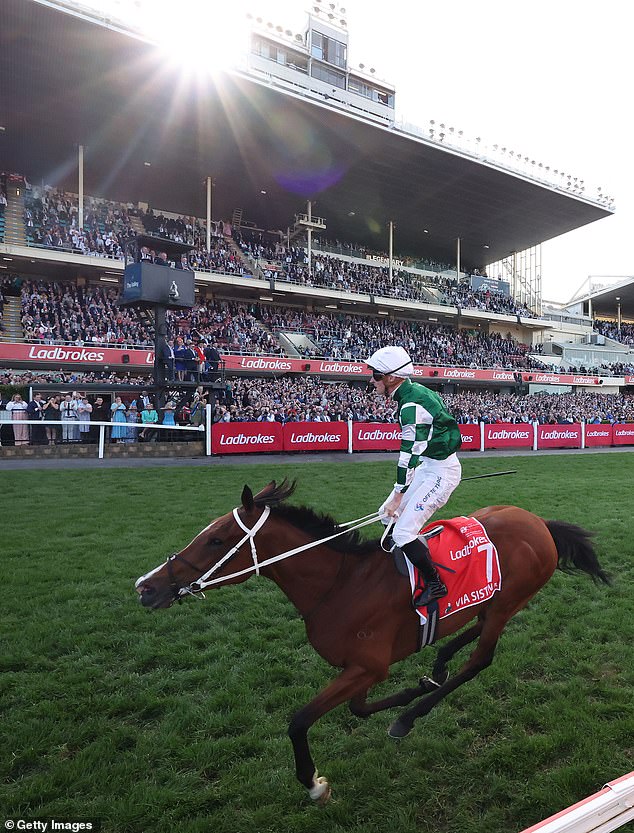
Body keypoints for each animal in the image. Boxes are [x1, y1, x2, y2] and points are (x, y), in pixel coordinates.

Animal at [135, 478, 608, 804]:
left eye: (216, 539)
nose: (146, 587)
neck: (340, 584)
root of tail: (538, 522)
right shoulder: (361, 668)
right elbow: (358, 709)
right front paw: (415, 686)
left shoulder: (368, 666)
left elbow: (300, 720)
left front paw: (314, 784)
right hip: (496, 603)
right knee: (472, 631)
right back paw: (437, 666)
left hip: (509, 600)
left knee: (481, 659)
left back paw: (412, 715)